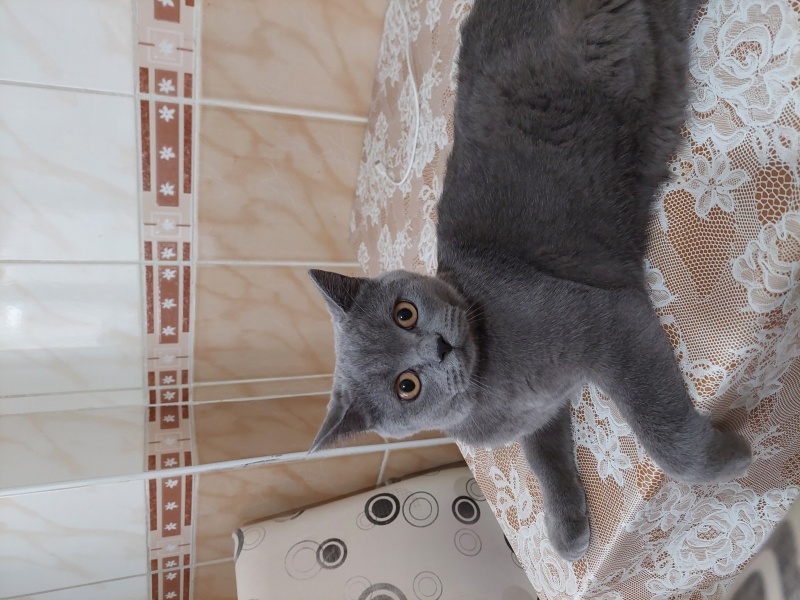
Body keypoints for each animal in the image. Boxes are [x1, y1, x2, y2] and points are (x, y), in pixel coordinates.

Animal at [304, 0, 752, 560]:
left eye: (403, 313)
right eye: (406, 387)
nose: (439, 347)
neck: (490, 381)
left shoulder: (605, 318)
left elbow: (663, 436)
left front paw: (733, 457)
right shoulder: (543, 410)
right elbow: (544, 462)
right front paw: (568, 532)